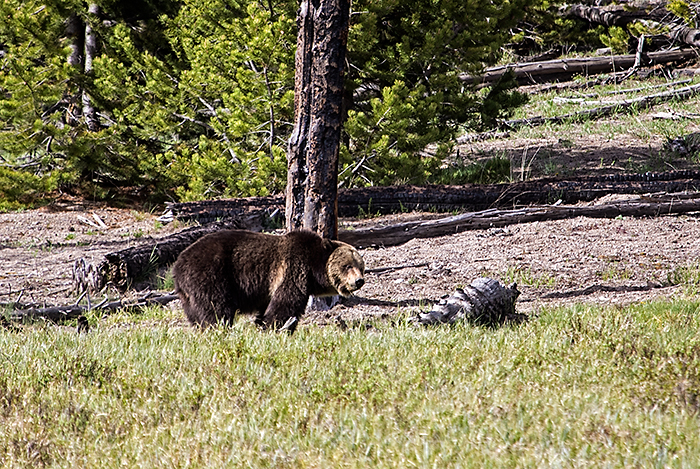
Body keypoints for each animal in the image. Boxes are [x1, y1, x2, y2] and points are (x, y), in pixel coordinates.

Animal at [172, 229, 365, 333]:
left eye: (361, 266)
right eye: (347, 265)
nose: (359, 281)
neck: (312, 268)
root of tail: (178, 263)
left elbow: (267, 307)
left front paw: (262, 323)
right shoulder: (292, 269)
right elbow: (285, 304)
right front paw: (276, 327)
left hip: (189, 293)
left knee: (195, 312)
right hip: (212, 274)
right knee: (216, 308)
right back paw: (218, 328)